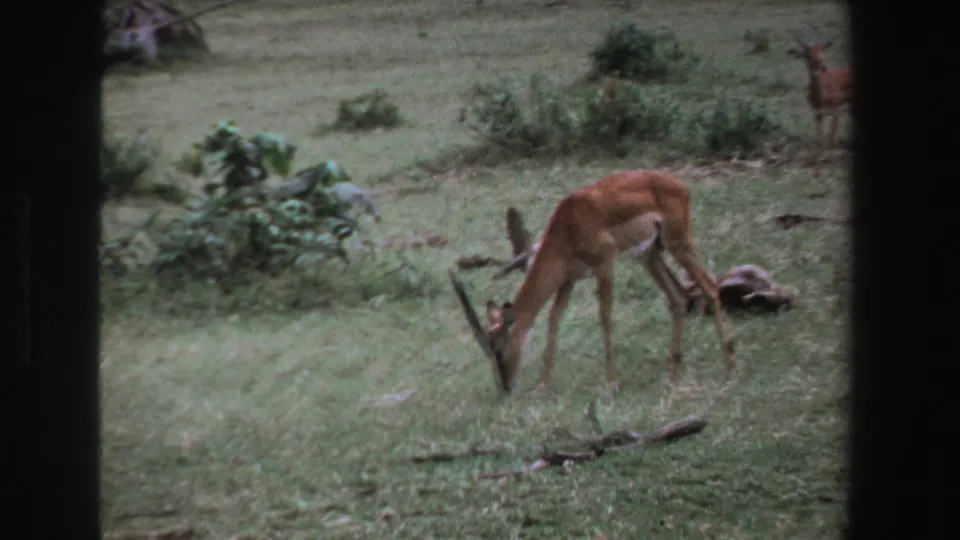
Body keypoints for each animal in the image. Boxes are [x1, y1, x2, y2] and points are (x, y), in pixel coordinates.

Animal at [449, 170, 736, 396]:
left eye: (498, 350)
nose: (507, 387)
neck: (567, 226)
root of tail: (680, 185)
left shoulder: (604, 264)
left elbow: (605, 317)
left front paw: (612, 385)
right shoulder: (568, 280)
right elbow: (554, 320)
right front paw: (542, 386)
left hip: (679, 244)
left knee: (710, 288)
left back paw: (729, 368)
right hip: (649, 255)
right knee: (678, 298)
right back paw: (672, 374)